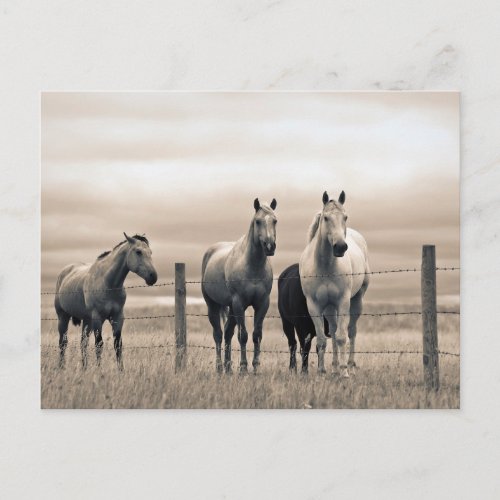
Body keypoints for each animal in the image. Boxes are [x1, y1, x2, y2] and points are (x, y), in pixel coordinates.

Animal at [54, 232, 157, 370]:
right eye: (138, 252)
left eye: (150, 252)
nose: (153, 276)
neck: (108, 284)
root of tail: (64, 272)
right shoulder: (98, 318)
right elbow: (99, 344)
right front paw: (99, 370)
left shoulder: (118, 317)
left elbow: (118, 345)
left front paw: (121, 370)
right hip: (63, 317)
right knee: (63, 342)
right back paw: (61, 367)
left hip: (87, 320)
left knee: (83, 343)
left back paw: (84, 369)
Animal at [201, 197, 278, 374]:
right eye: (258, 221)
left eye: (275, 221)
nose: (270, 246)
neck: (252, 266)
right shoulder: (239, 303)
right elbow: (243, 336)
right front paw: (243, 368)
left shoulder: (262, 304)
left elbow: (257, 335)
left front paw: (255, 367)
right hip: (213, 306)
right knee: (218, 334)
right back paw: (219, 367)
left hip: (231, 308)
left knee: (228, 332)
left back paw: (228, 368)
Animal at [298, 189, 370, 376]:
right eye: (326, 218)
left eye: (345, 217)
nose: (340, 247)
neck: (325, 267)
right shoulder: (314, 305)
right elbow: (323, 339)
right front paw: (321, 371)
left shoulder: (343, 301)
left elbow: (342, 337)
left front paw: (344, 373)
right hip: (329, 308)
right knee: (332, 329)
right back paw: (335, 367)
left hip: (356, 300)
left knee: (351, 331)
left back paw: (349, 366)